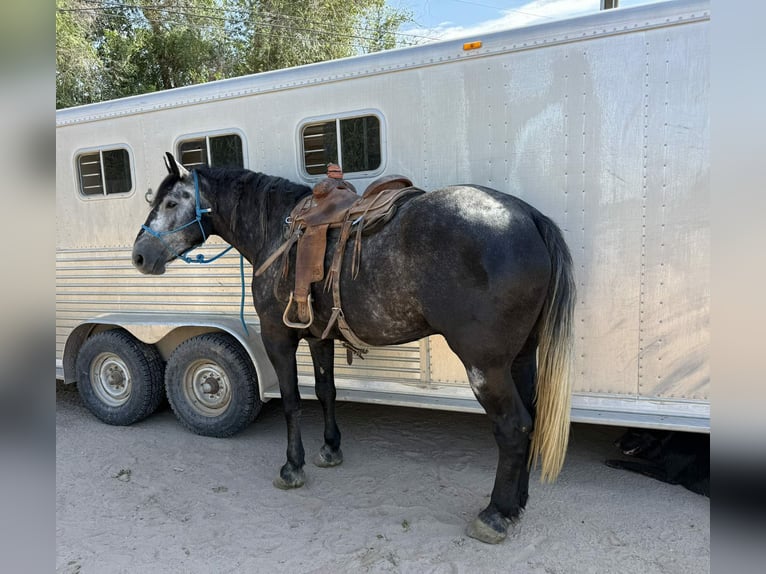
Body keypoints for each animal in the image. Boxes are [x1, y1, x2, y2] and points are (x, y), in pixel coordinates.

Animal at [132, 153, 576, 544]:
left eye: (171, 202)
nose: (138, 255)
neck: (277, 230)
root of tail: (529, 217)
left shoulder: (278, 336)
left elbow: (292, 402)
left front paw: (293, 466)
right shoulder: (318, 337)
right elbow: (326, 392)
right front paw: (330, 449)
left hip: (486, 365)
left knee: (512, 427)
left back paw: (495, 514)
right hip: (521, 358)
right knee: (531, 420)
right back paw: (516, 504)